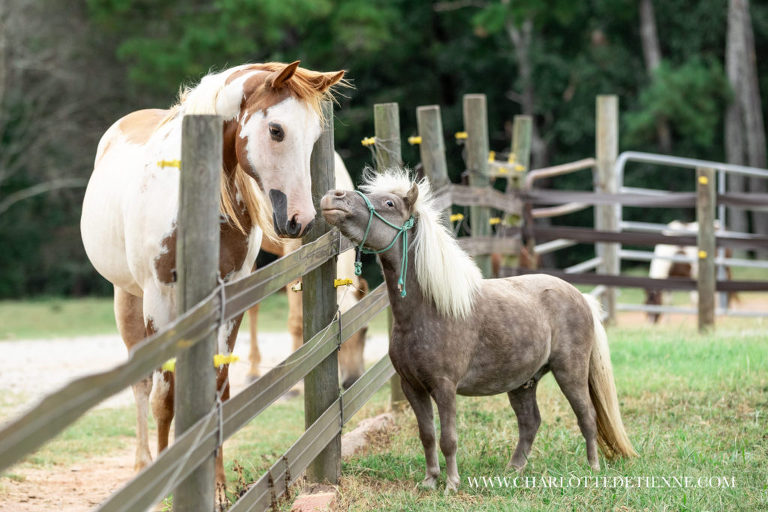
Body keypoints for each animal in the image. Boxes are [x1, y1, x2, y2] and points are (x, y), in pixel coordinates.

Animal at [80, 61, 345, 507]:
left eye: (313, 136)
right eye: (276, 130)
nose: (301, 220)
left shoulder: (231, 296)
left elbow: (217, 391)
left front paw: (217, 489)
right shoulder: (160, 300)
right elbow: (163, 397)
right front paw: (165, 491)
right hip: (128, 300)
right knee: (142, 384)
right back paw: (143, 466)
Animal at [320, 169, 636, 493]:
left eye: (389, 203)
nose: (334, 197)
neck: (429, 310)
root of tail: (581, 297)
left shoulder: (444, 387)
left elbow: (448, 439)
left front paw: (451, 484)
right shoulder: (413, 388)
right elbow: (427, 435)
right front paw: (430, 481)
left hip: (570, 372)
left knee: (587, 416)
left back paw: (593, 468)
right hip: (523, 382)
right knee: (530, 422)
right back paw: (513, 471)